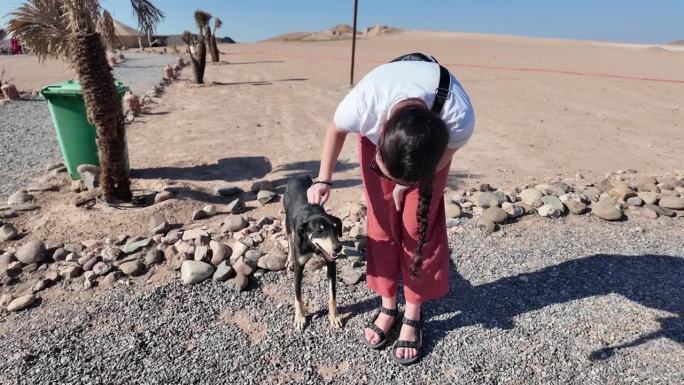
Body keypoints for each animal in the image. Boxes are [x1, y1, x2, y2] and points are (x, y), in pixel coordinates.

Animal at [282, 176, 342, 328]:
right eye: (320, 231)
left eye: (335, 228)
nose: (338, 248)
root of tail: (299, 176)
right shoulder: (299, 268)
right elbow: (298, 296)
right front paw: (300, 317)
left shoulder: (331, 264)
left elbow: (332, 295)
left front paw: (334, 316)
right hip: (287, 221)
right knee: (290, 239)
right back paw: (289, 260)